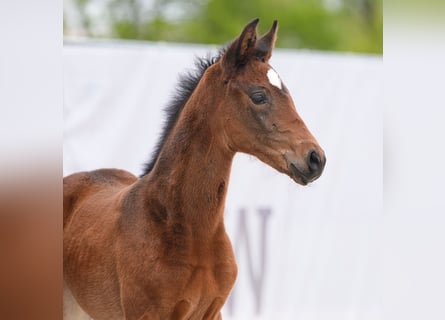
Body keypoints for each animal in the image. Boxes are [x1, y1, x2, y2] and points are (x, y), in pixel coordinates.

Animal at [62, 18, 324, 318]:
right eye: (259, 96)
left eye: (289, 95)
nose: (316, 158)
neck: (195, 234)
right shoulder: (146, 312)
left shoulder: (213, 311)